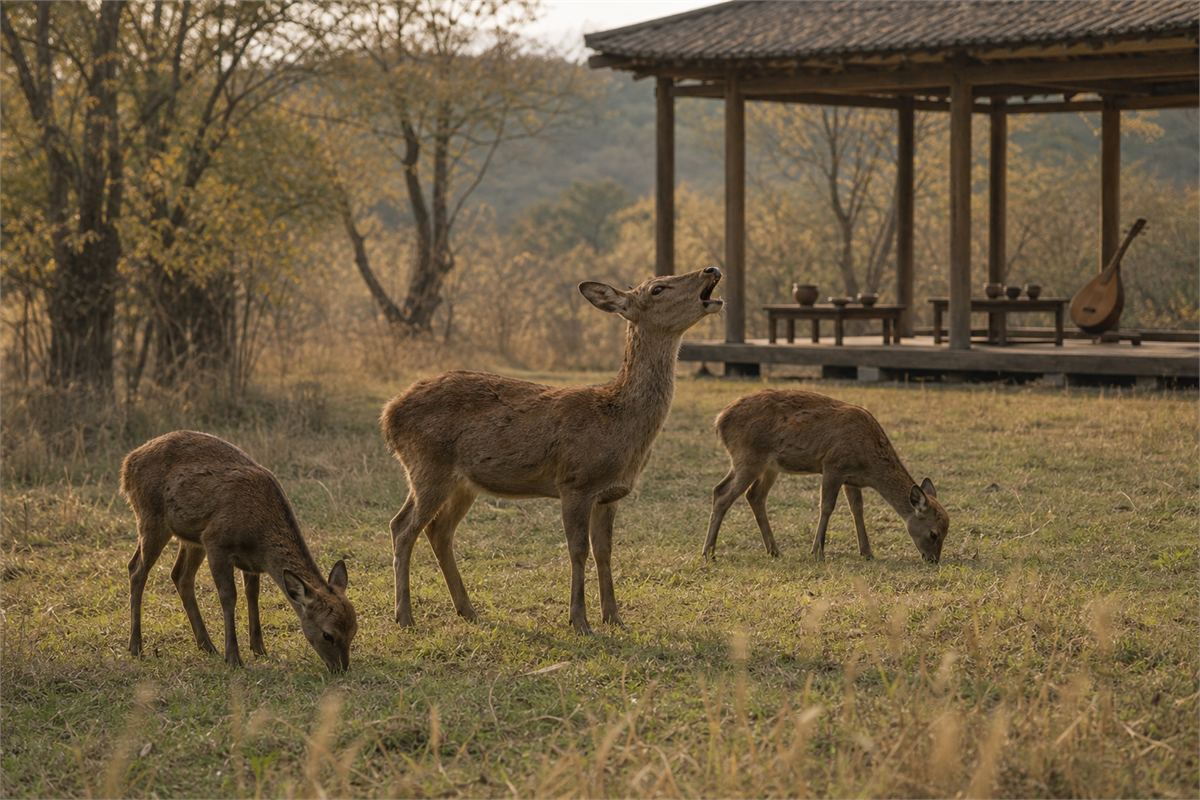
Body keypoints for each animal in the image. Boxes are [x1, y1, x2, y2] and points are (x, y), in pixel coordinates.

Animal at [121, 431, 357, 672]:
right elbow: (229, 596)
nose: (341, 668)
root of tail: (128, 463)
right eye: (327, 634)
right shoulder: (216, 542)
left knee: (180, 575)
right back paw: (136, 646)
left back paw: (207, 645)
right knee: (137, 570)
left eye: (353, 630)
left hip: (192, 538)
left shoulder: (250, 562)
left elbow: (252, 594)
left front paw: (259, 649)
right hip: (151, 517)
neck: (261, 537)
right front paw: (234, 657)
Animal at [380, 266, 723, 634]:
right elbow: (578, 551)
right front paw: (580, 621)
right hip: (428, 466)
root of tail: (389, 414)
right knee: (402, 528)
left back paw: (468, 610)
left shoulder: (611, 494)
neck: (618, 421)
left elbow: (605, 551)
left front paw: (615, 618)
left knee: (438, 530)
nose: (711, 269)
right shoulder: (575, 482)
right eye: (658, 288)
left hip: (462, 482)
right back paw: (405, 616)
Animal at [702, 389, 948, 564]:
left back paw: (774, 551)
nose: (933, 560)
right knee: (723, 493)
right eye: (934, 533)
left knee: (751, 495)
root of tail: (719, 420)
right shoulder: (833, 465)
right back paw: (709, 553)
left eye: (947, 532)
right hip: (748, 457)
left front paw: (867, 552)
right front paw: (817, 552)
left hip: (766, 465)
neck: (869, 464)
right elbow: (827, 506)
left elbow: (857, 510)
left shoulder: (852, 479)